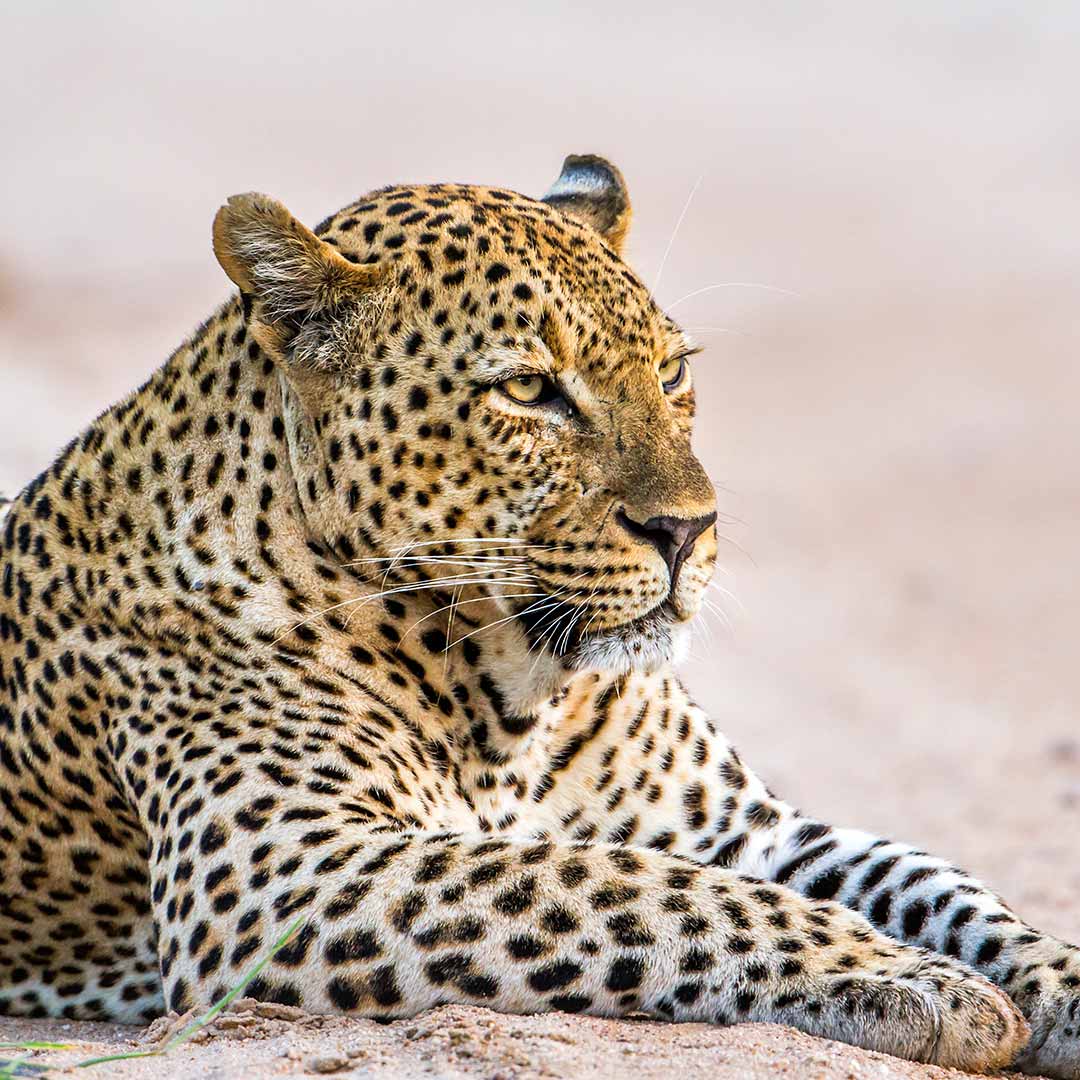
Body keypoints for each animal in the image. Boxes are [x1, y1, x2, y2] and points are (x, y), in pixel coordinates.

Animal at [0, 156, 1075, 1075]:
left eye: (672, 372)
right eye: (527, 389)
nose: (688, 529)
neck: (515, 692)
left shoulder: (743, 827)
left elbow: (938, 885)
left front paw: (1051, 983)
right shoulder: (283, 868)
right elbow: (629, 886)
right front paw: (910, 978)